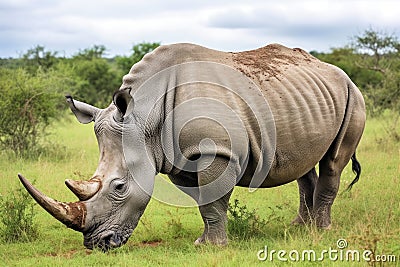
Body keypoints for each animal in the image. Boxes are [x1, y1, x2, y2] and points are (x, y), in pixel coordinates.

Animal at [18, 43, 366, 251]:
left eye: (119, 187)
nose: (96, 243)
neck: (145, 117)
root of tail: (337, 71)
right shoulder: (178, 156)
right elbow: (204, 202)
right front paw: (204, 241)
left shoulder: (216, 151)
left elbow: (212, 200)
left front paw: (211, 247)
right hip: (307, 98)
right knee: (304, 163)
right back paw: (299, 227)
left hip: (353, 96)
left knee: (333, 161)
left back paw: (320, 231)